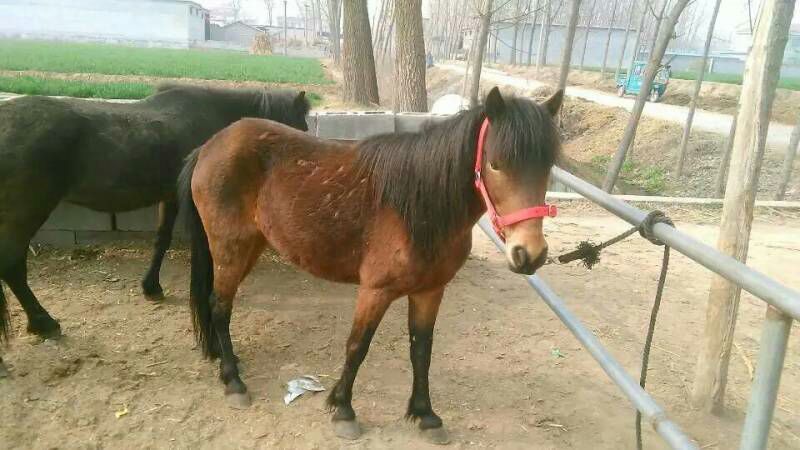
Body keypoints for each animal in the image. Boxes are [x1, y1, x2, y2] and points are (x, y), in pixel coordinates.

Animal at [0, 85, 310, 349]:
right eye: (300, 125)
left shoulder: (169, 196)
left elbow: (161, 238)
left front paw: (151, 286)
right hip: (26, 211)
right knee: (13, 266)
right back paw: (44, 322)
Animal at [179, 87, 563, 444]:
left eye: (547, 166)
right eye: (495, 163)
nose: (529, 254)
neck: (418, 207)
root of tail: (209, 147)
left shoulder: (430, 291)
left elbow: (421, 351)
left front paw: (425, 415)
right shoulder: (375, 291)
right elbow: (357, 346)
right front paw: (343, 410)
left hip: (249, 248)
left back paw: (224, 361)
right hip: (230, 249)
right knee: (220, 306)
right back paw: (234, 382)